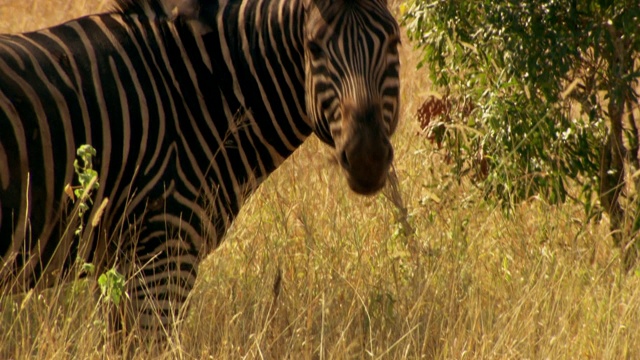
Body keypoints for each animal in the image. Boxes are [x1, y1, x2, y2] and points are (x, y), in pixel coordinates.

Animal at [0, 0, 400, 332]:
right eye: (313, 48)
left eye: (394, 42)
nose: (366, 159)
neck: (197, 96)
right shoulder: (161, 254)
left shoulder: (117, 260)